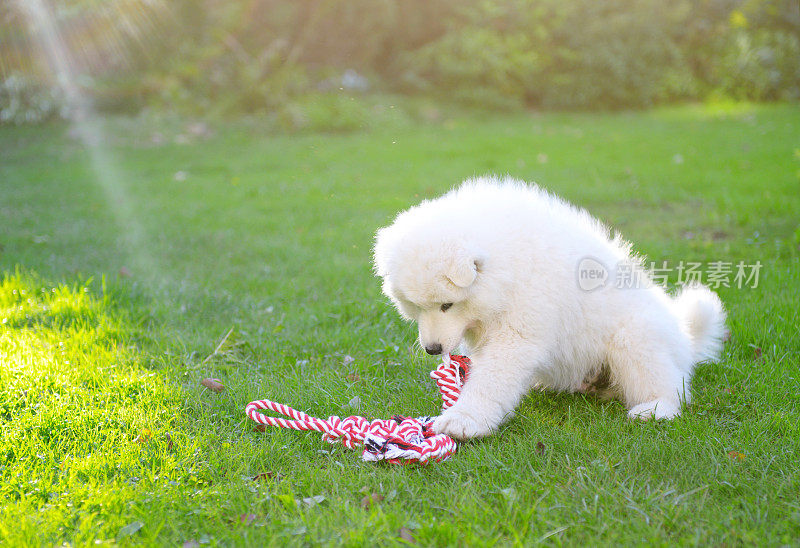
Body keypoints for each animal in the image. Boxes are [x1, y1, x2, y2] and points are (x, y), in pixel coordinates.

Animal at [374, 178, 724, 438]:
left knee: (672, 386)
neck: (507, 268)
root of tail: (685, 340)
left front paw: (464, 419)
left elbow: (491, 381)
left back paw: (655, 409)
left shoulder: (517, 334)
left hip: (636, 340)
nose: (432, 349)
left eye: (447, 305)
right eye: (415, 308)